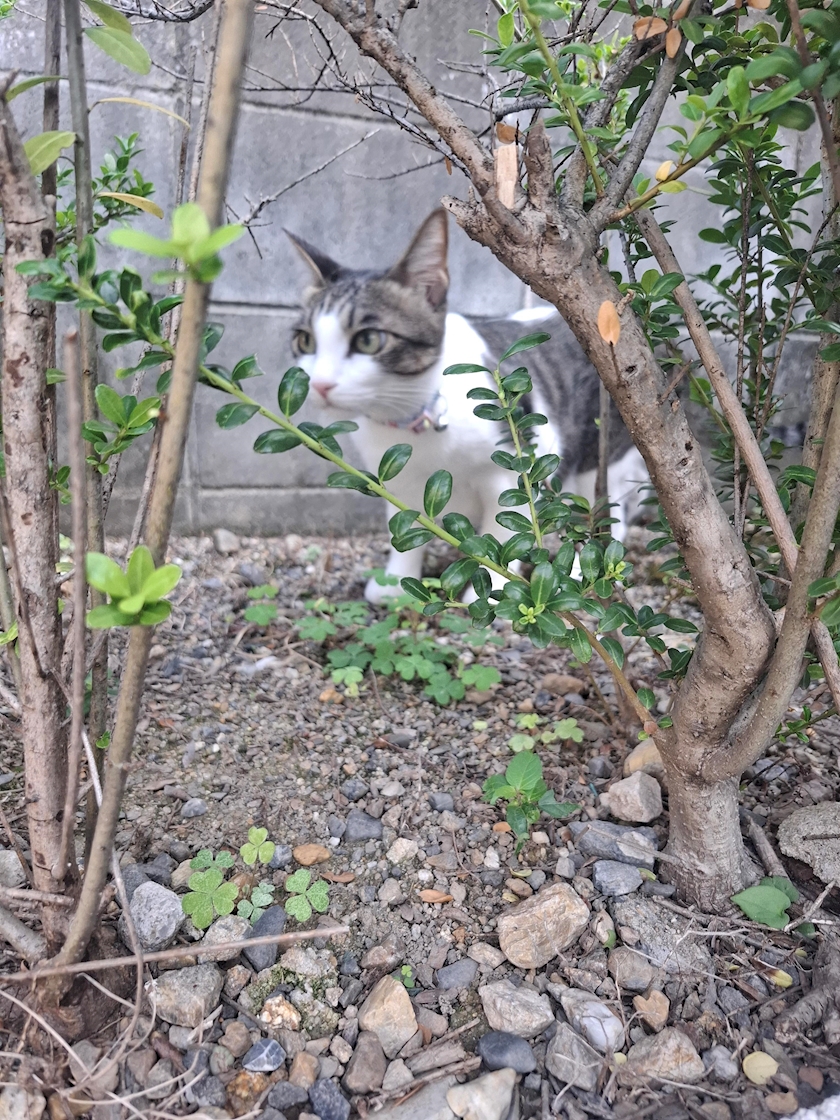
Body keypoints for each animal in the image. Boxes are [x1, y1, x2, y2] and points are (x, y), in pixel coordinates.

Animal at [287, 209, 648, 604]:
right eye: (305, 341)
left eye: (368, 340)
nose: (319, 384)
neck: (412, 420)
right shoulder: (395, 479)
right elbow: (403, 528)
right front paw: (395, 584)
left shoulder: (514, 473)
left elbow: (507, 533)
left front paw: (497, 595)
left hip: (601, 453)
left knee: (609, 508)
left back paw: (591, 570)